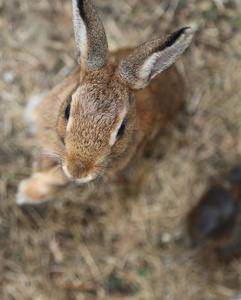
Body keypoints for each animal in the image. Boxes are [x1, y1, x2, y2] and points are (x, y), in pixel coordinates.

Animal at [16, 0, 193, 204]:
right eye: (67, 110)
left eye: (121, 130)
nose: (77, 171)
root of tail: (178, 76)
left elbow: (56, 179)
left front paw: (25, 193)